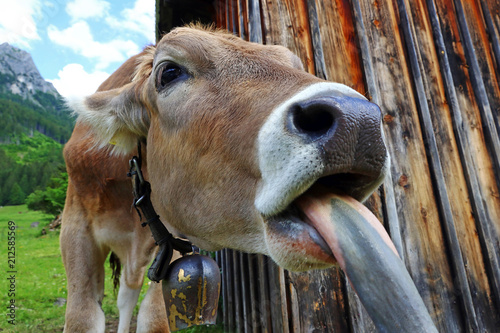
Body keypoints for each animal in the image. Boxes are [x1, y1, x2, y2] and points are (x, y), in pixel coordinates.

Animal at [61, 26, 438, 332]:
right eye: (169, 72)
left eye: (295, 66)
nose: (357, 121)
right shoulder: (75, 226)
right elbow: (82, 318)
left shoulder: (170, 239)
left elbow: (152, 318)